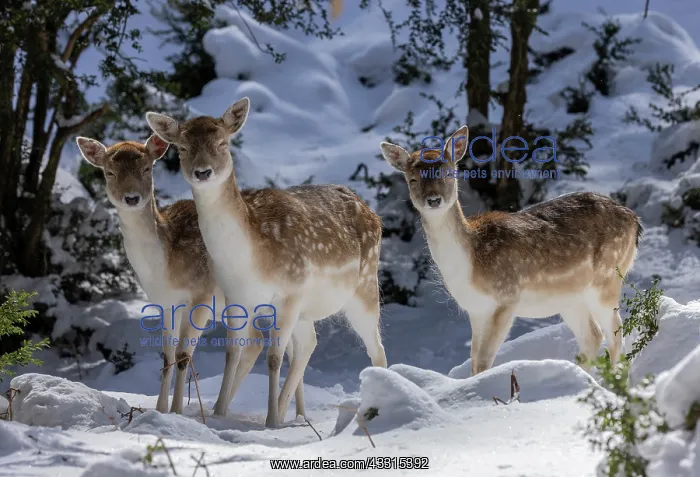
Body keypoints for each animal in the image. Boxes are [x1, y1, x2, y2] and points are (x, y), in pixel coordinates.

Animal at [75, 134, 305, 417]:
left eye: (147, 168)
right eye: (109, 172)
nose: (131, 197)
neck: (165, 268)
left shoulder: (201, 295)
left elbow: (184, 355)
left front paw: (176, 411)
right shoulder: (164, 303)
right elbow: (167, 356)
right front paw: (160, 410)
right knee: (263, 342)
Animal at [145, 97, 388, 428]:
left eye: (223, 143)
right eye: (181, 147)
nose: (202, 172)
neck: (251, 260)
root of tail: (372, 212)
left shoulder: (289, 293)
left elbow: (273, 358)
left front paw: (270, 421)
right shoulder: (236, 298)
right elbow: (233, 353)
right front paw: (219, 413)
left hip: (364, 287)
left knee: (376, 348)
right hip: (308, 310)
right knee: (309, 343)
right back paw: (292, 414)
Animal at [379, 126, 643, 376]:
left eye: (447, 172)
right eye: (412, 179)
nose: (433, 200)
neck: (470, 260)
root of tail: (634, 220)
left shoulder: (507, 297)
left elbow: (484, 362)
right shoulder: (476, 310)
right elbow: (474, 362)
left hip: (607, 278)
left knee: (616, 334)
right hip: (571, 297)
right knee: (593, 336)